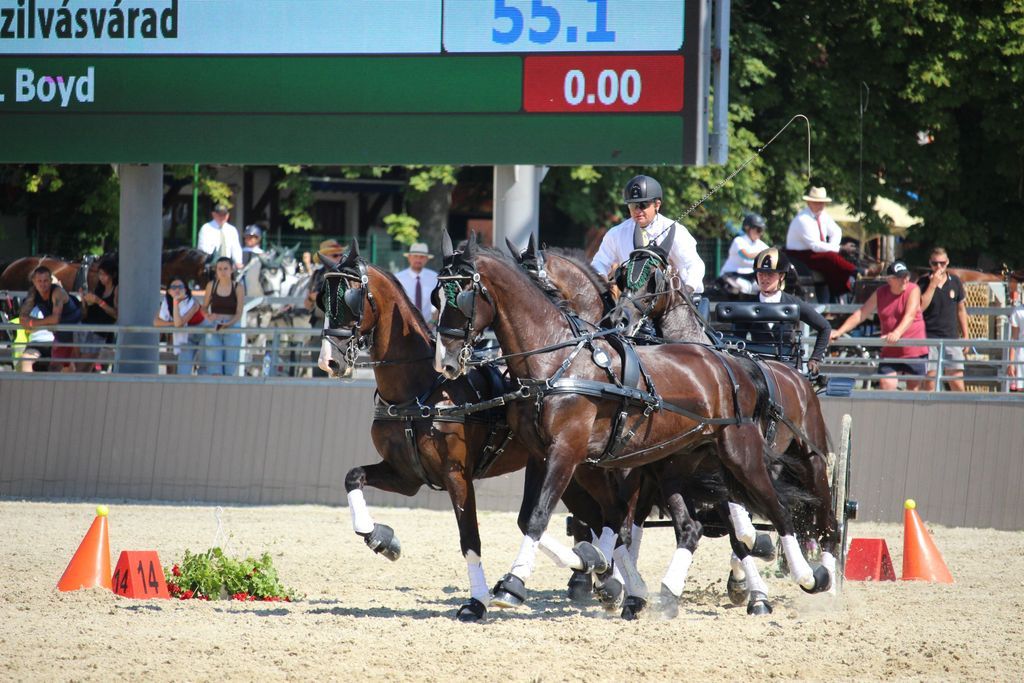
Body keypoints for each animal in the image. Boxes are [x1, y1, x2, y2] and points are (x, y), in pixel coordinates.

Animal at [313, 242, 614, 622]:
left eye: (350, 298)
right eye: (323, 300)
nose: (328, 362)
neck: (420, 389)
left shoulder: (456, 475)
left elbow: (470, 538)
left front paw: (478, 601)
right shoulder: (406, 476)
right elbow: (353, 477)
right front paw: (382, 538)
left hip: (580, 468)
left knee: (612, 516)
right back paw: (602, 574)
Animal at [432, 233, 831, 618]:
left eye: (462, 296)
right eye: (436, 297)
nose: (446, 362)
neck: (558, 361)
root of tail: (734, 364)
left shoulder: (569, 452)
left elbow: (543, 518)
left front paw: (514, 585)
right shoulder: (553, 457)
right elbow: (585, 522)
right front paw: (605, 575)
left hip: (755, 455)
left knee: (787, 512)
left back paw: (812, 577)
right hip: (676, 463)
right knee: (691, 527)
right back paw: (669, 593)